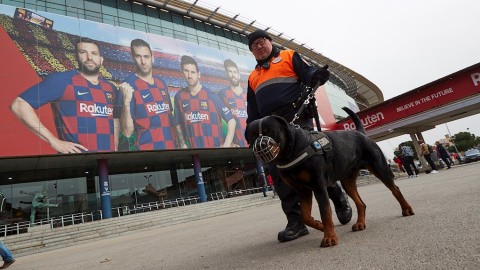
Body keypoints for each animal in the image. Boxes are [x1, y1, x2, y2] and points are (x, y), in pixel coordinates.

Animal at [246, 107, 414, 247]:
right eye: (252, 136)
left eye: (270, 131)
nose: (261, 145)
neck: (290, 151)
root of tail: (360, 133)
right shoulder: (302, 190)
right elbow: (305, 216)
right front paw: (320, 226)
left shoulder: (318, 186)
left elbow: (326, 212)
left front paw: (329, 237)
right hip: (347, 181)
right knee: (361, 203)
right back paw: (360, 223)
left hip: (379, 167)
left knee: (395, 189)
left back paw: (406, 209)